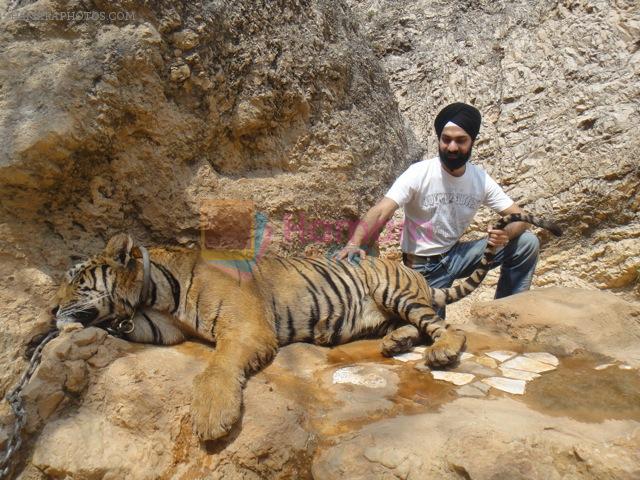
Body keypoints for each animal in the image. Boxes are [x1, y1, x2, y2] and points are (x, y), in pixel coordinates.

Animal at [48, 213, 560, 438]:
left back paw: (442, 351)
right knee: (414, 326)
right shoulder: (161, 327)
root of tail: (416, 275)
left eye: (75, 282)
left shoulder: (246, 329)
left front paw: (212, 415)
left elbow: (217, 366)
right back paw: (395, 342)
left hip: (397, 293)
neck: (154, 293)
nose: (51, 310)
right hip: (394, 306)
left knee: (441, 325)